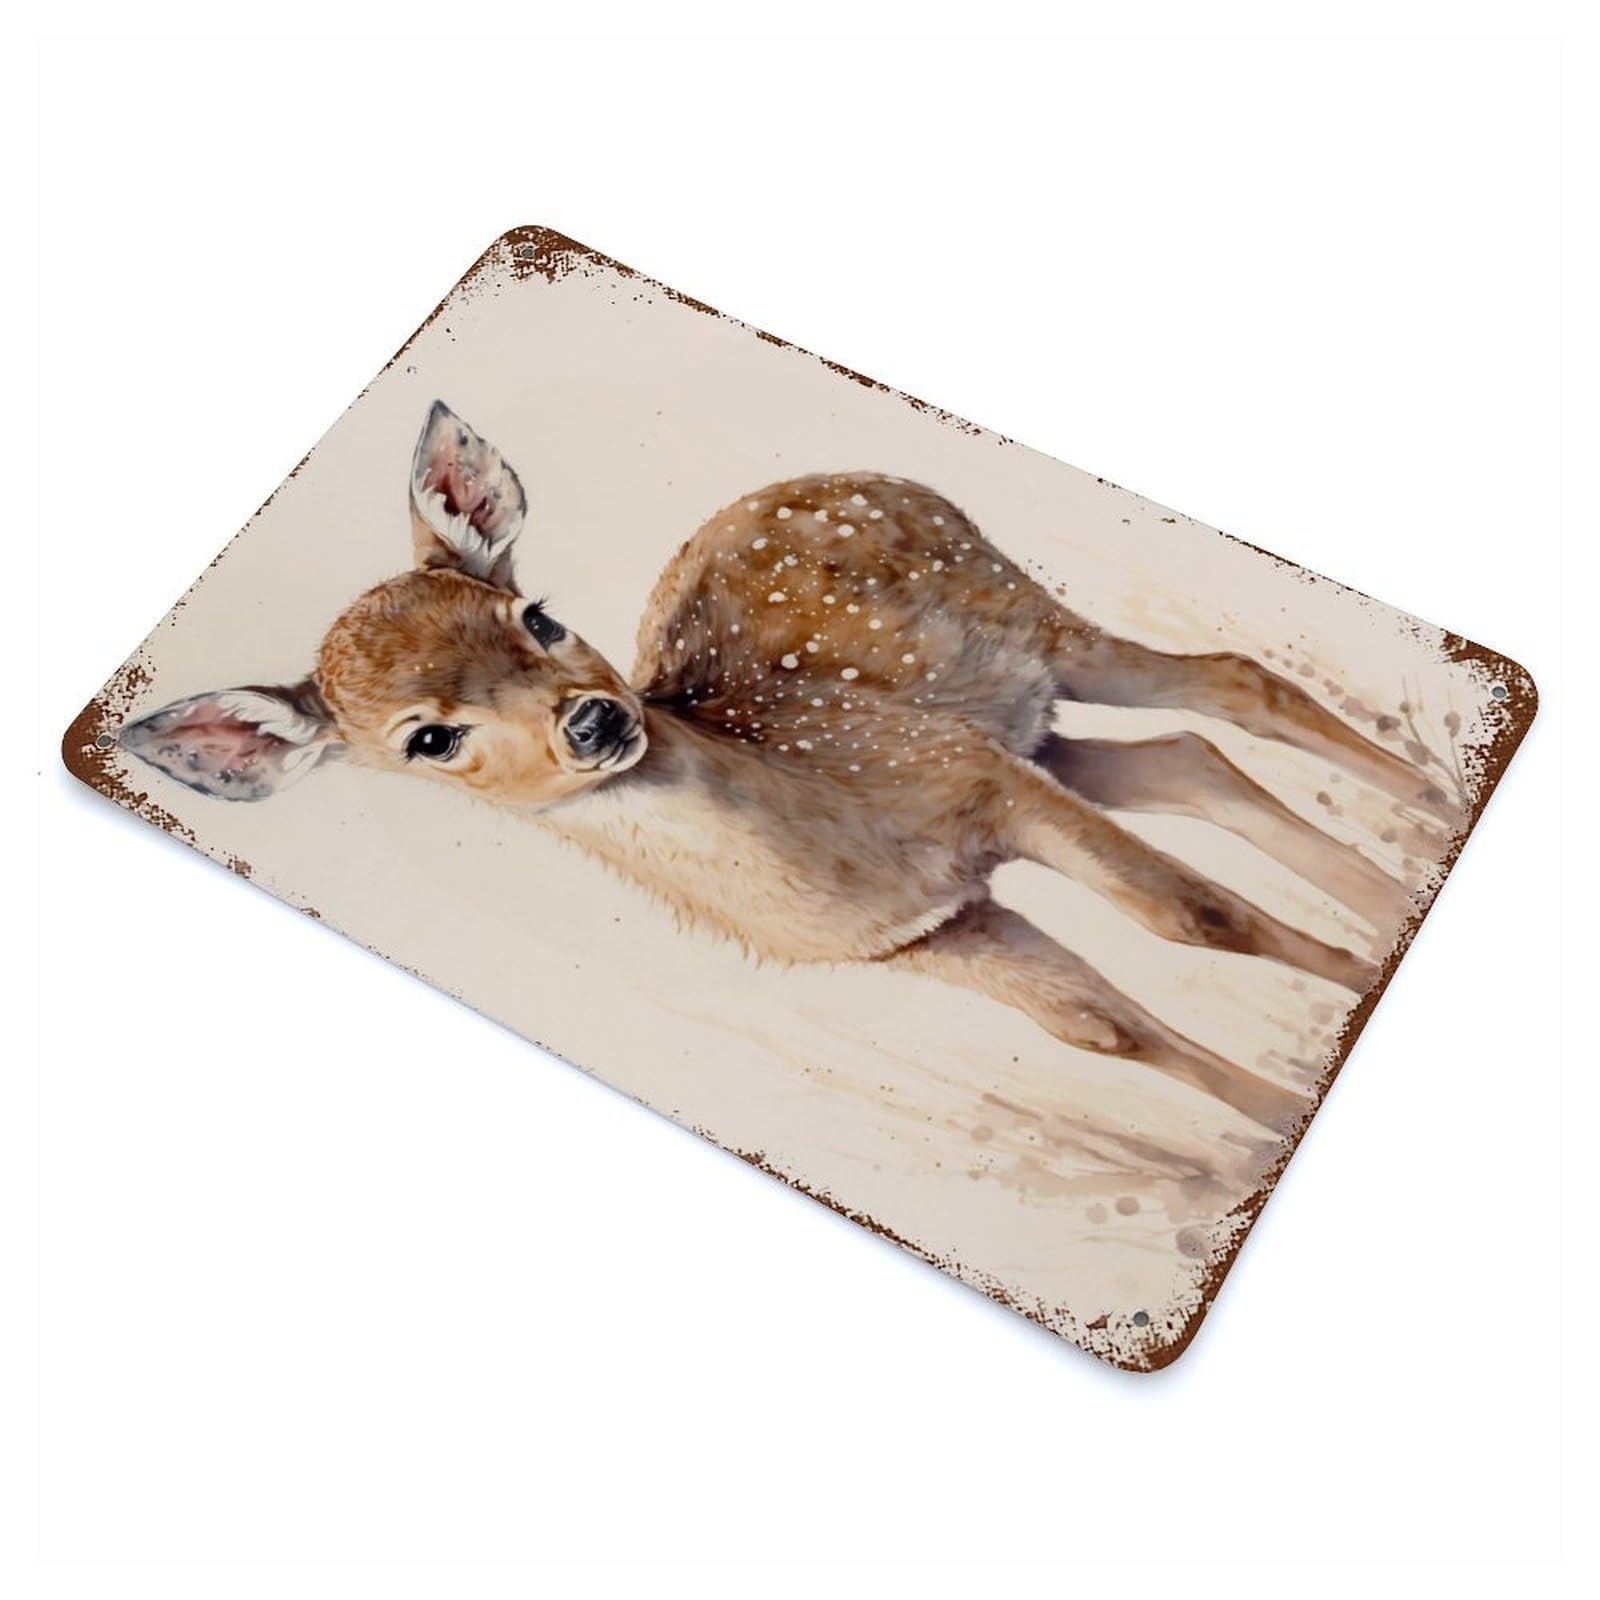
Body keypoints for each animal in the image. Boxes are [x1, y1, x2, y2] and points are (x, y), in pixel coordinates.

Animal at [119, 401, 1444, 1133]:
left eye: (537, 616)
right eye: (426, 738)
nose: (592, 722)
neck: (830, 840)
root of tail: (856, 471)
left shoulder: (984, 788)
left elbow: (1194, 916)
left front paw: (1346, 1000)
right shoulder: (932, 928)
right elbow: (1104, 1032)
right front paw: (1271, 1118)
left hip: (1019, 634)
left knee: (1231, 682)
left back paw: (1424, 817)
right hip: (1024, 719)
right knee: (1186, 752)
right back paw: (1408, 857)